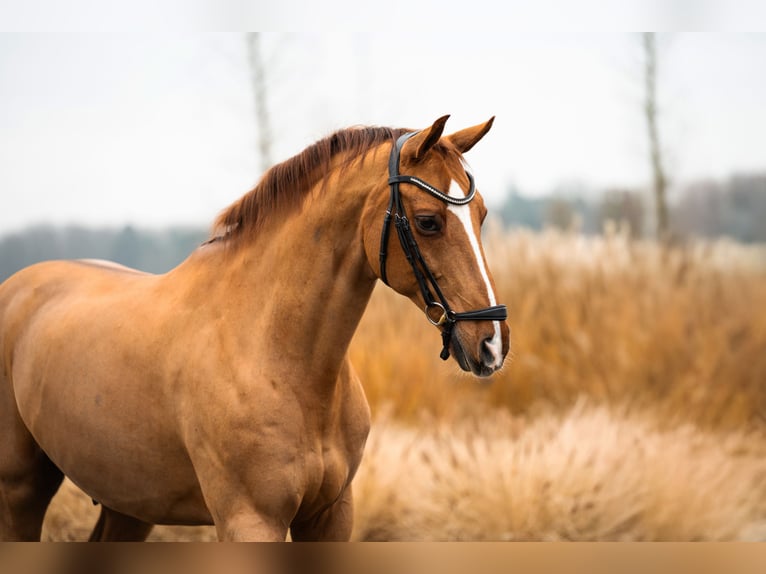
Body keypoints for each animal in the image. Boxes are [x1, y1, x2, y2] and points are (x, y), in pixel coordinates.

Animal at [0, 115, 510, 541]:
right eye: (428, 222)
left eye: (482, 215)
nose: (492, 344)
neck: (275, 354)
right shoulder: (250, 521)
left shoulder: (329, 516)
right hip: (20, 493)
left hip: (129, 505)